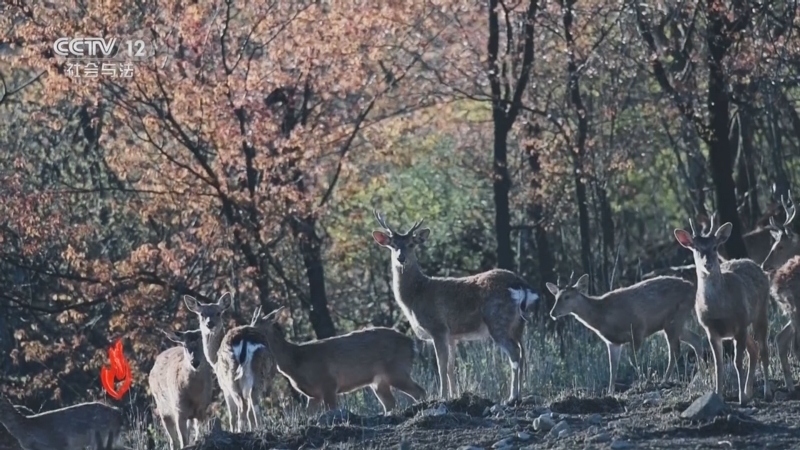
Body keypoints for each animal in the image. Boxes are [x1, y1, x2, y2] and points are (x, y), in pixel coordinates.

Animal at [254, 307, 426, 414]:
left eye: (257, 325)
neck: (296, 361)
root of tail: (411, 344)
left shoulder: (328, 382)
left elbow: (332, 410)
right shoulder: (313, 396)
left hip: (396, 370)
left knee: (419, 391)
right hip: (379, 382)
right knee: (391, 404)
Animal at [371, 210, 540, 403]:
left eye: (411, 244)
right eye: (392, 245)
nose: (401, 258)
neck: (416, 295)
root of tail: (520, 284)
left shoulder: (438, 328)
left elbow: (441, 366)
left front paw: (442, 396)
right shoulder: (452, 336)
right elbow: (451, 367)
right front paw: (454, 395)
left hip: (498, 320)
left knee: (514, 353)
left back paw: (512, 396)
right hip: (518, 324)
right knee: (523, 352)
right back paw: (520, 394)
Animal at [546, 273, 704, 395]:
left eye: (567, 297)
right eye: (555, 297)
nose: (552, 313)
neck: (603, 316)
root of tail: (693, 287)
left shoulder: (638, 328)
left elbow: (632, 360)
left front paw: (642, 382)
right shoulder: (613, 342)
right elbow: (613, 368)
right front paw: (610, 392)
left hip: (674, 318)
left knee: (676, 350)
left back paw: (665, 380)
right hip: (673, 324)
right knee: (696, 339)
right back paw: (700, 372)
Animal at [674, 216, 772, 404]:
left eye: (715, 246)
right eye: (696, 248)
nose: (708, 264)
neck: (719, 309)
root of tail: (755, 264)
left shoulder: (740, 323)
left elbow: (737, 362)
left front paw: (741, 398)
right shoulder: (711, 330)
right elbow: (718, 364)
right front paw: (719, 396)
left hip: (760, 312)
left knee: (763, 349)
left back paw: (766, 391)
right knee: (754, 350)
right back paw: (750, 391)